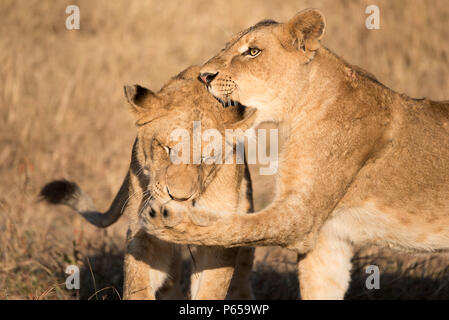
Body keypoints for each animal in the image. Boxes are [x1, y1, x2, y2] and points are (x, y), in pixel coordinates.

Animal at [40, 66, 258, 302]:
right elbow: (138, 280)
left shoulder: (217, 237)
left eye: (206, 158)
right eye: (167, 149)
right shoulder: (143, 228)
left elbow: (211, 288)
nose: (179, 198)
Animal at [142, 10, 448, 300]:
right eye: (225, 47)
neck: (299, 111)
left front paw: (167, 218)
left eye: (253, 52)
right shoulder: (328, 239)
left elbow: (238, 226)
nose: (204, 76)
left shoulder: (301, 217)